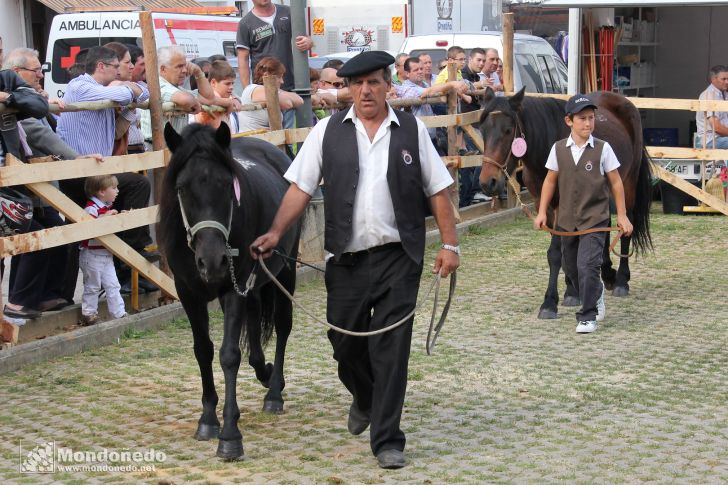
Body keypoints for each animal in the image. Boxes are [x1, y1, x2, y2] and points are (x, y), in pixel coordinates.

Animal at [159, 123, 298, 460]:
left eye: (226, 184)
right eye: (181, 188)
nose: (213, 260)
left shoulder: (232, 290)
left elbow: (229, 354)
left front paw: (230, 435)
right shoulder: (188, 293)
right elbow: (203, 350)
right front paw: (208, 418)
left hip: (285, 269)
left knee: (283, 326)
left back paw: (274, 391)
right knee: (255, 321)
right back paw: (264, 372)